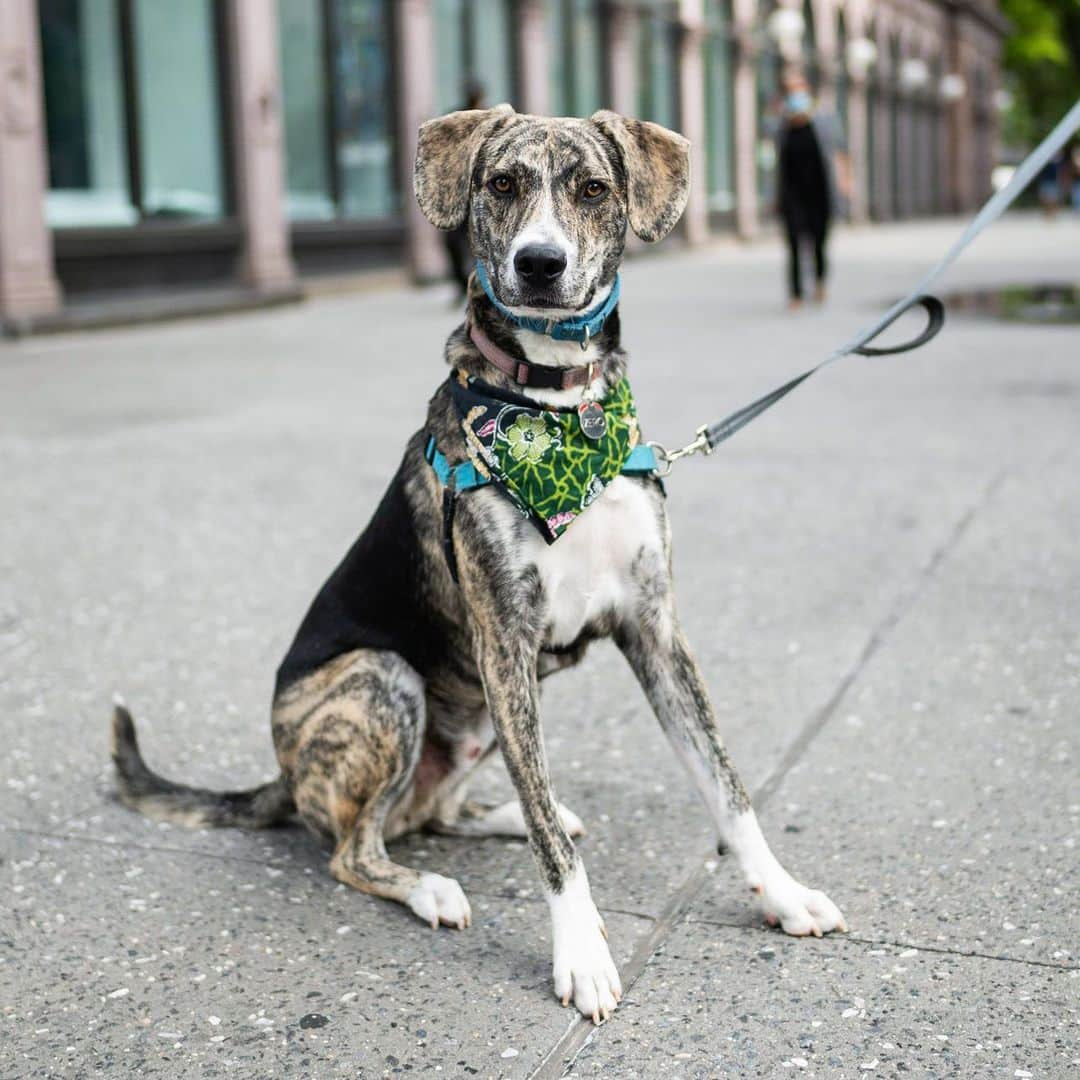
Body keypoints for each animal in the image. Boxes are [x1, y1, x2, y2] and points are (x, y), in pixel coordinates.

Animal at [113, 105, 846, 1023]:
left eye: (592, 189)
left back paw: (507, 815)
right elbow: (560, 862)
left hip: (479, 717)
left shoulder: (655, 632)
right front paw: (582, 956)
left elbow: (728, 788)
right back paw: (432, 886)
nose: (540, 262)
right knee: (355, 848)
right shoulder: (505, 644)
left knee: (440, 811)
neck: (558, 413)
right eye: (501, 183)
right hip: (386, 681)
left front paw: (782, 893)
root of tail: (282, 774)